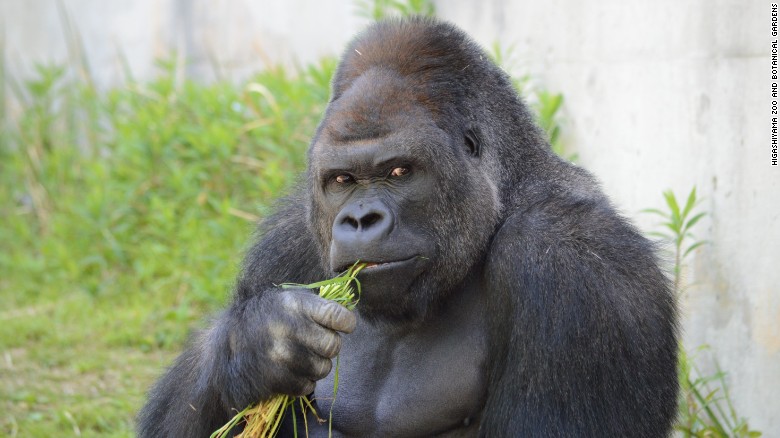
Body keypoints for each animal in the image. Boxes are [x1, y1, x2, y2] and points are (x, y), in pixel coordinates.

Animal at [137, 16, 680, 434]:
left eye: (399, 171)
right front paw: (257, 345)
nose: (360, 219)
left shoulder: (572, 268)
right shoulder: (288, 239)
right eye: (342, 179)